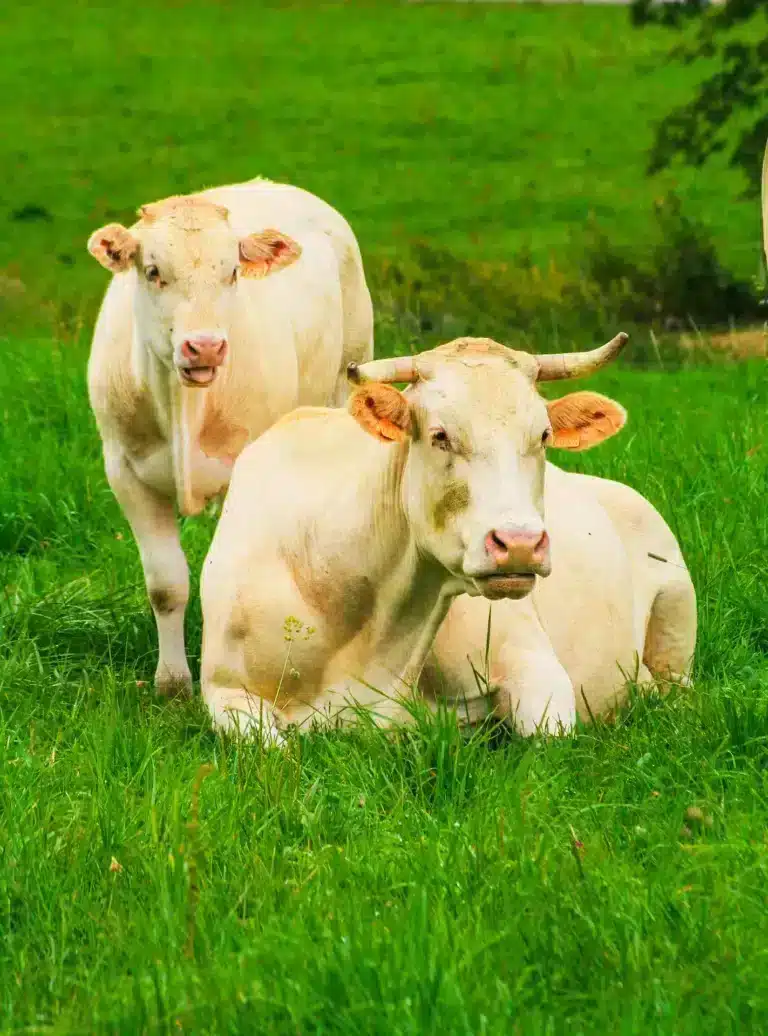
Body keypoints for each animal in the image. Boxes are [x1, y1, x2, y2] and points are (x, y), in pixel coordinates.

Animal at [86, 178, 371, 696]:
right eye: (153, 271)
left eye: (233, 272)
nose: (205, 346)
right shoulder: (124, 471)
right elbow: (166, 584)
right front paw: (173, 682)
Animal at [198, 327, 696, 741]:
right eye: (440, 435)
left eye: (543, 434)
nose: (519, 544)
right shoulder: (224, 689)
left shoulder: (535, 661)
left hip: (676, 608)